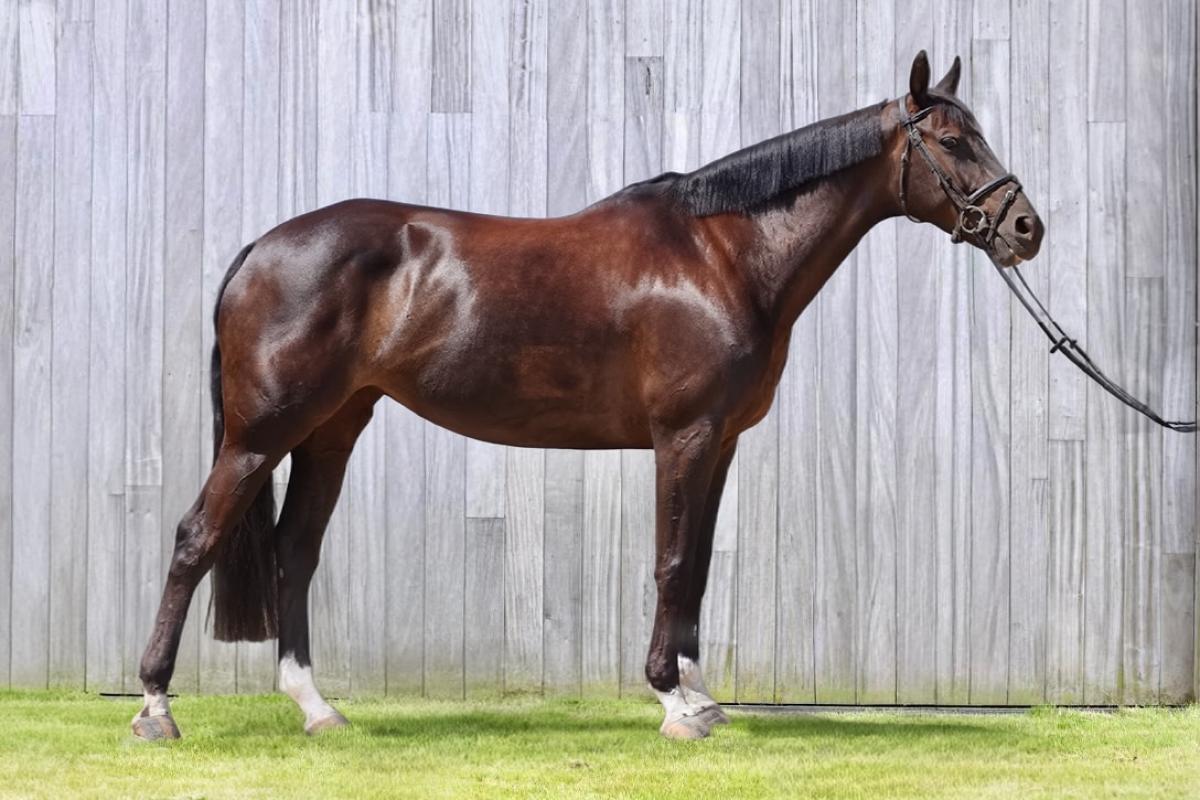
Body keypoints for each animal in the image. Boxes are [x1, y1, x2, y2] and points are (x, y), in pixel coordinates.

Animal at [133, 51, 1043, 741]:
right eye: (954, 140)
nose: (1025, 229)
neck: (722, 255)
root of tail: (259, 249)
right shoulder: (683, 434)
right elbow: (672, 560)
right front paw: (673, 702)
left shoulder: (721, 441)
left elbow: (698, 564)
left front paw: (700, 694)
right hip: (261, 433)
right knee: (194, 539)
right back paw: (155, 706)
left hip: (331, 428)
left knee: (294, 551)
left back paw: (317, 709)